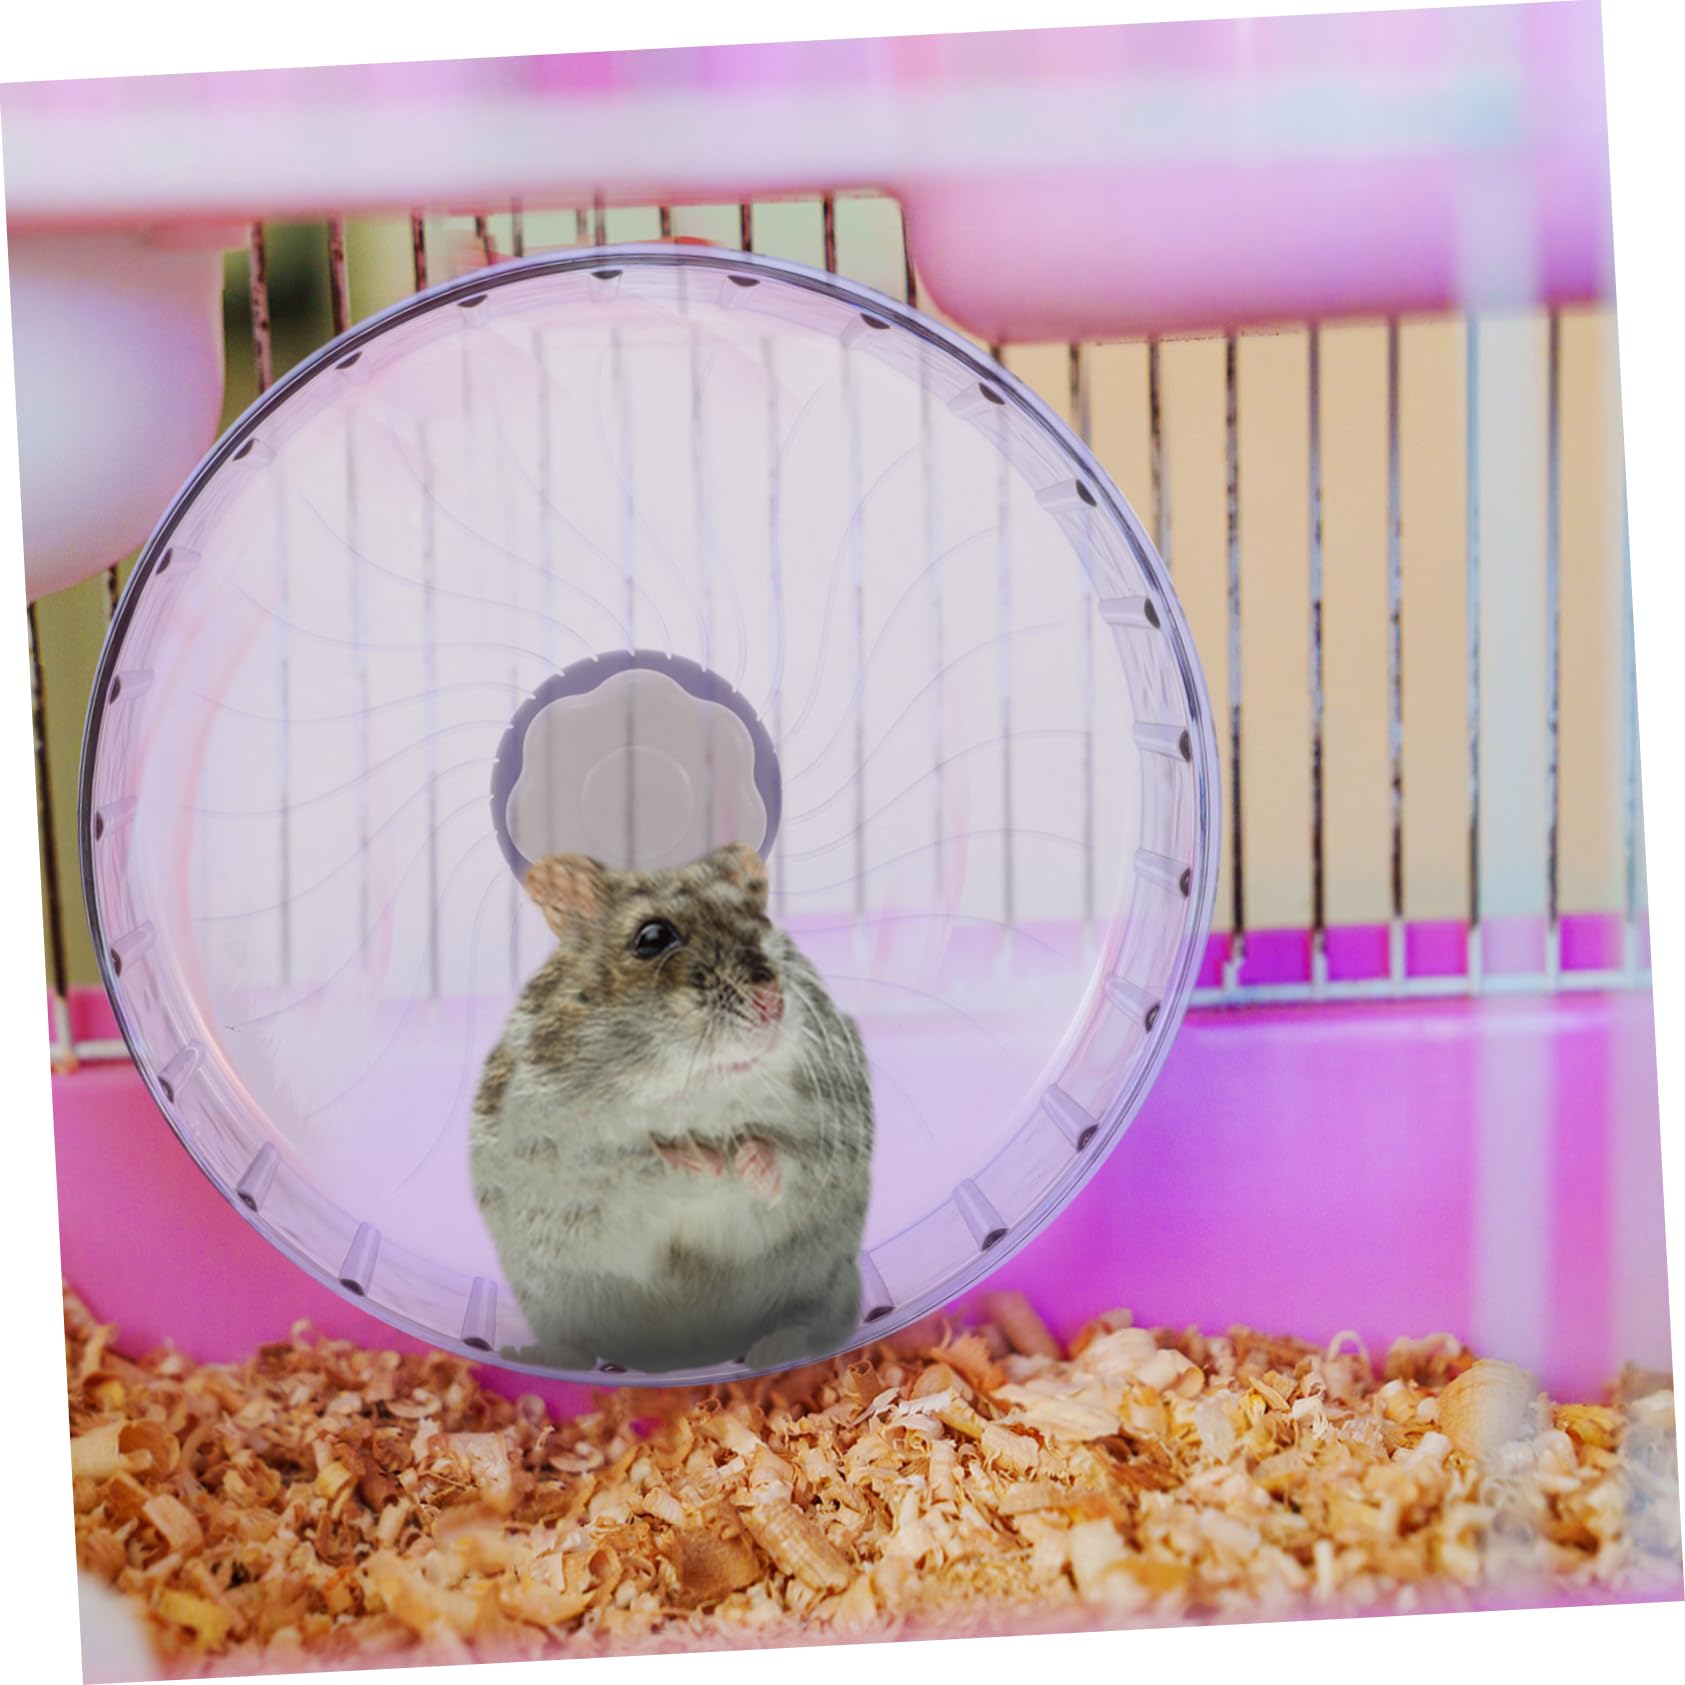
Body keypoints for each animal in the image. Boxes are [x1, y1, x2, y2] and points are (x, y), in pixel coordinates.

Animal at [469, 842, 874, 1374]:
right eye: (652, 937)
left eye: (761, 917)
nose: (772, 1000)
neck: (694, 1085)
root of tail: (692, 1355)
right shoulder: (572, 1161)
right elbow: (643, 1165)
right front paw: (699, 1158)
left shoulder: (830, 1133)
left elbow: (784, 1160)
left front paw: (746, 1158)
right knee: (576, 1346)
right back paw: (536, 1355)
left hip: (828, 1280)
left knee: (814, 1322)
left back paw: (776, 1348)